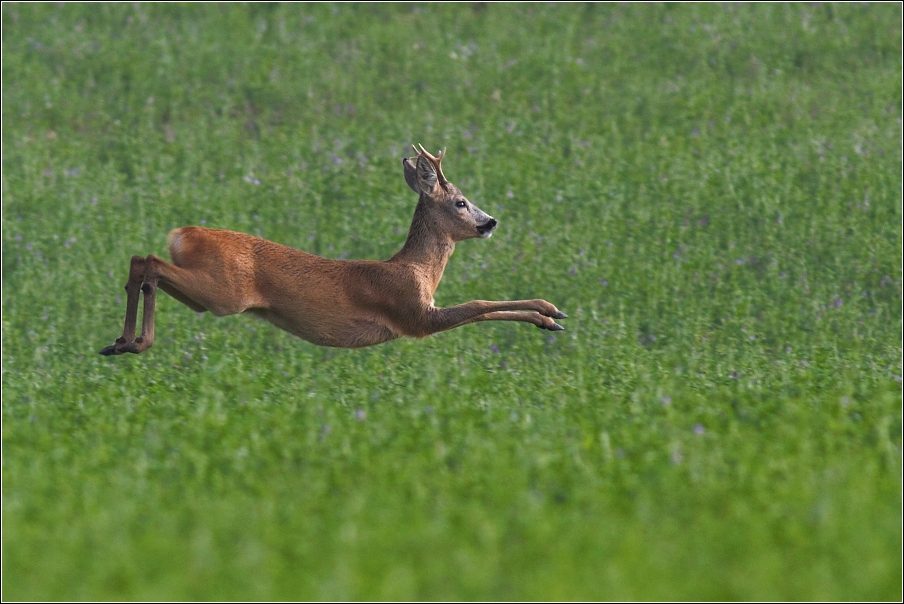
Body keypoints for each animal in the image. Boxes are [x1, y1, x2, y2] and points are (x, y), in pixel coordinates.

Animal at [99, 145, 564, 356]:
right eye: (461, 202)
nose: (491, 222)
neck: (417, 270)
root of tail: (182, 232)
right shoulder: (413, 315)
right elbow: (479, 305)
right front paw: (549, 312)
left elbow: (481, 309)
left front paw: (550, 316)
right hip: (224, 293)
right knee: (149, 261)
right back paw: (136, 342)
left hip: (204, 295)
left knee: (141, 262)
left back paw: (120, 342)